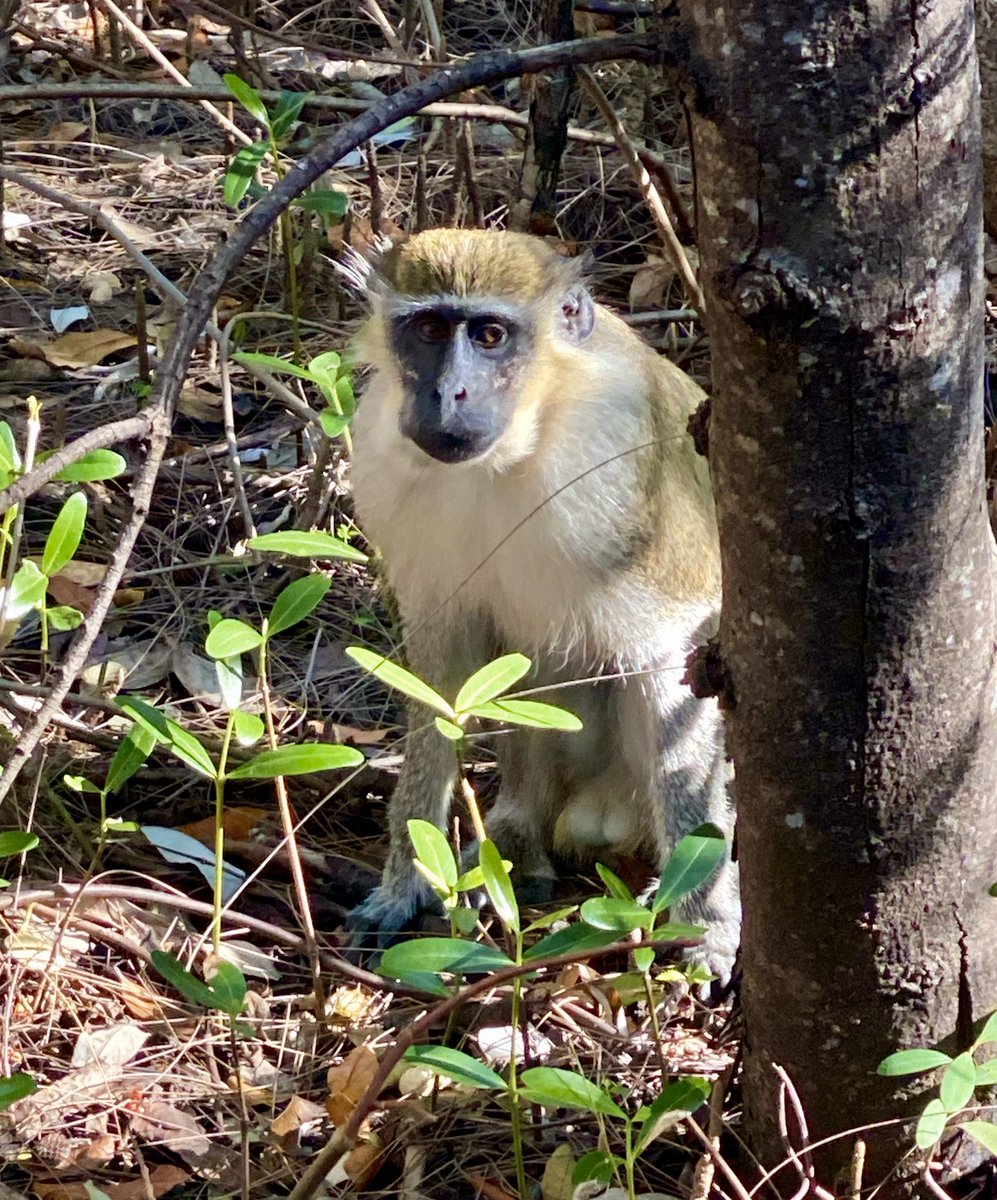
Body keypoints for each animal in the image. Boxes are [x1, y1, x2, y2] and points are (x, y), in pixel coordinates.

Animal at [345, 228, 739, 982]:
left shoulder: (618, 482)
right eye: (430, 330)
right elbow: (442, 675)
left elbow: (673, 666)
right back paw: (515, 840)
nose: (448, 392)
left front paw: (705, 921)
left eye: (491, 334)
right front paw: (404, 879)